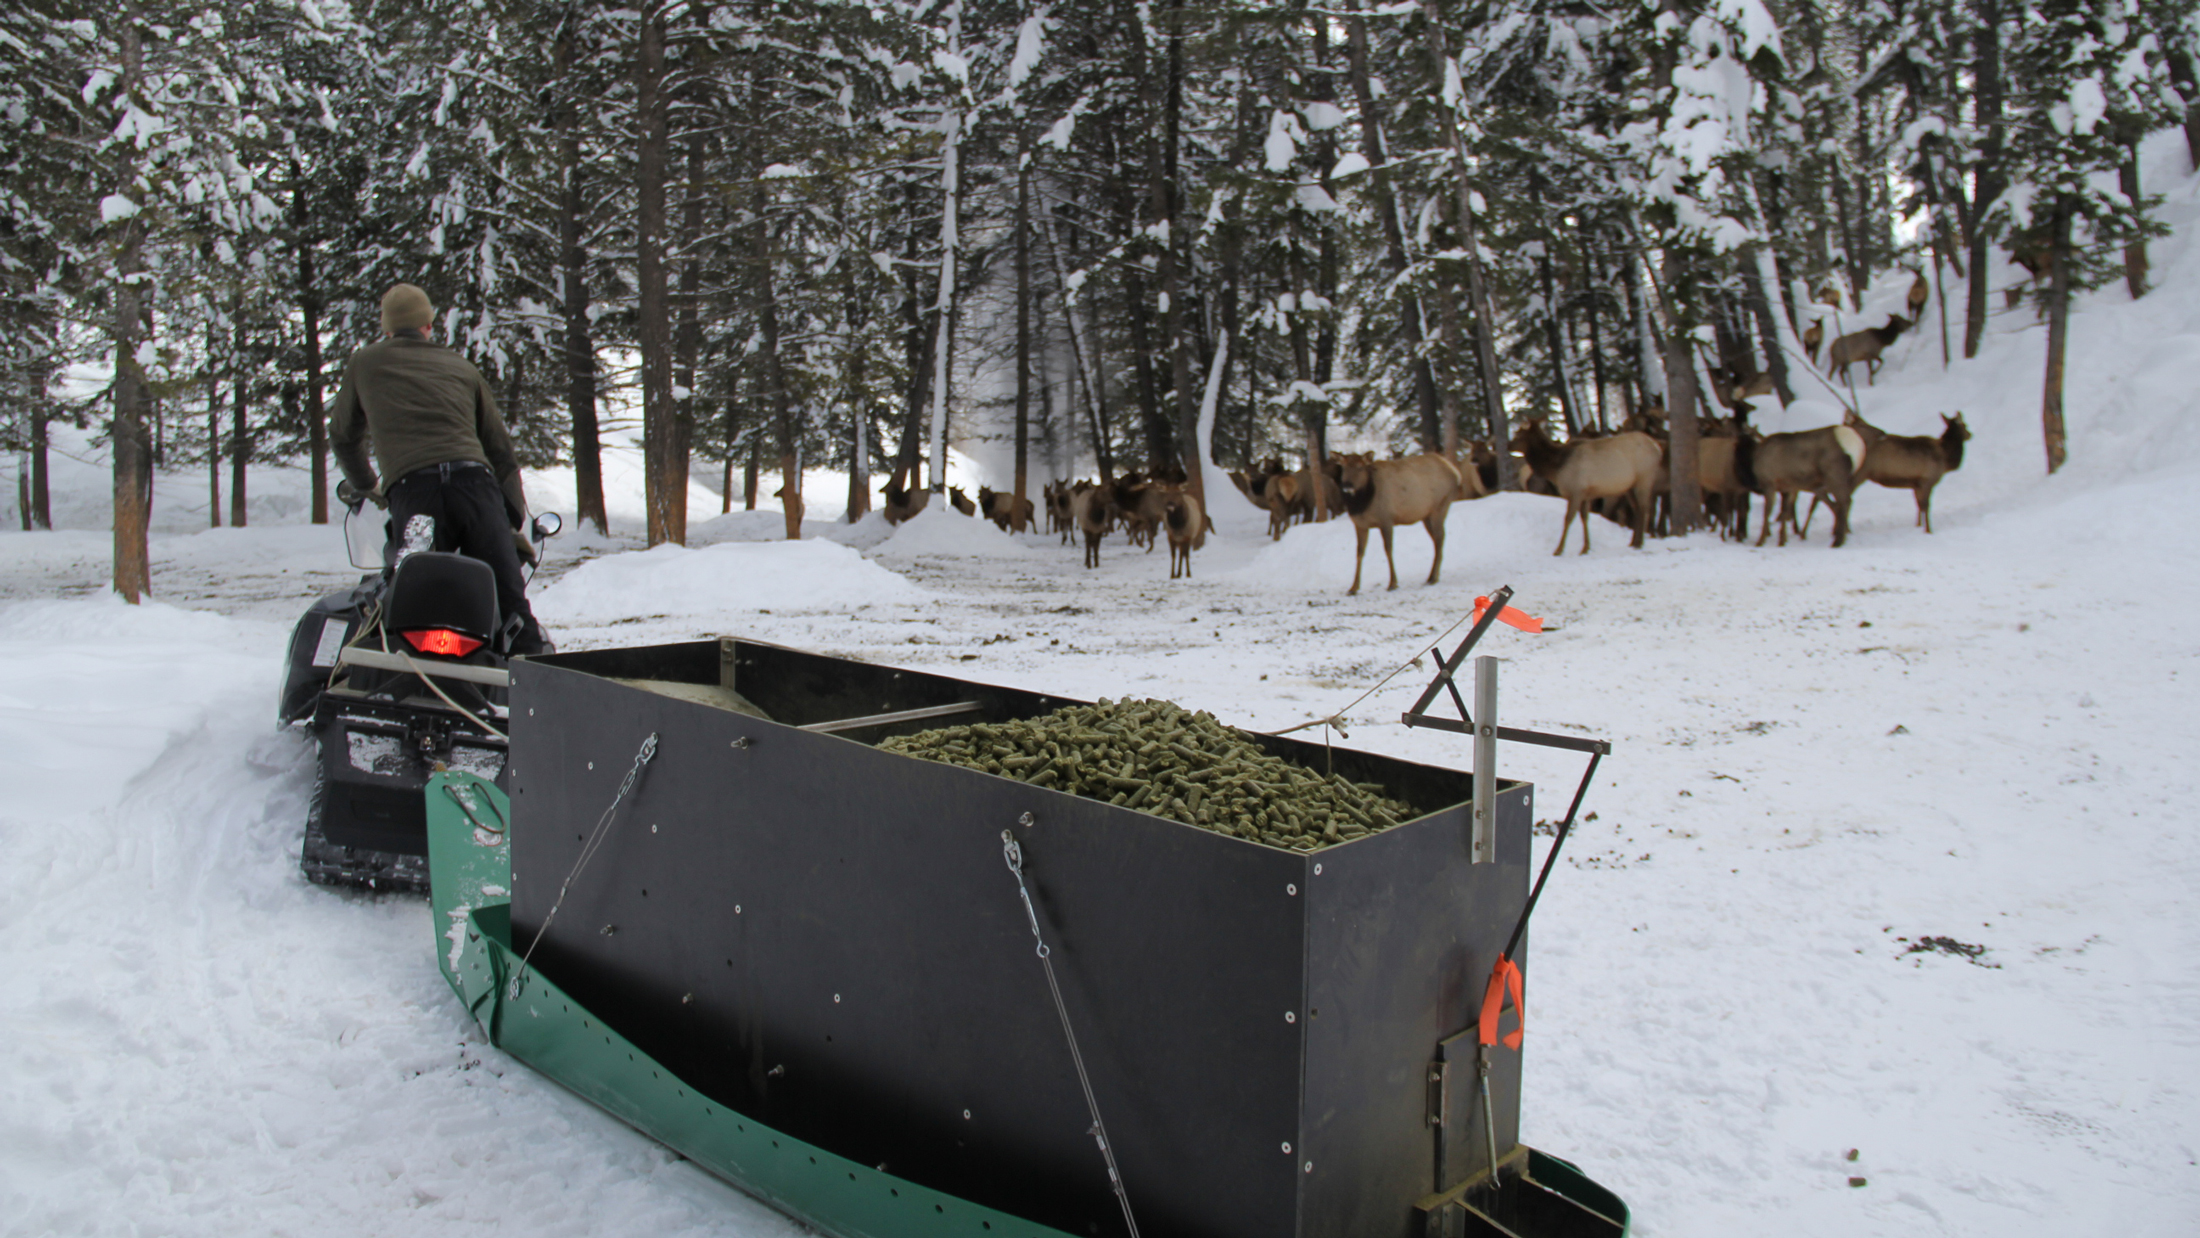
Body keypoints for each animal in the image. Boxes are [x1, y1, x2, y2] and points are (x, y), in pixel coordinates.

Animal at [1504, 426, 1654, 562]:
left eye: (1519, 435)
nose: (1508, 445)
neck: (1556, 469)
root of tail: (1655, 446)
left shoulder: (1575, 492)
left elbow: (1568, 519)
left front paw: (1558, 550)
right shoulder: (1584, 495)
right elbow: (1584, 518)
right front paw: (1585, 548)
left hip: (1644, 479)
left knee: (1644, 508)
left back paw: (1639, 543)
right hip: (1630, 487)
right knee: (1638, 509)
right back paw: (1635, 542)